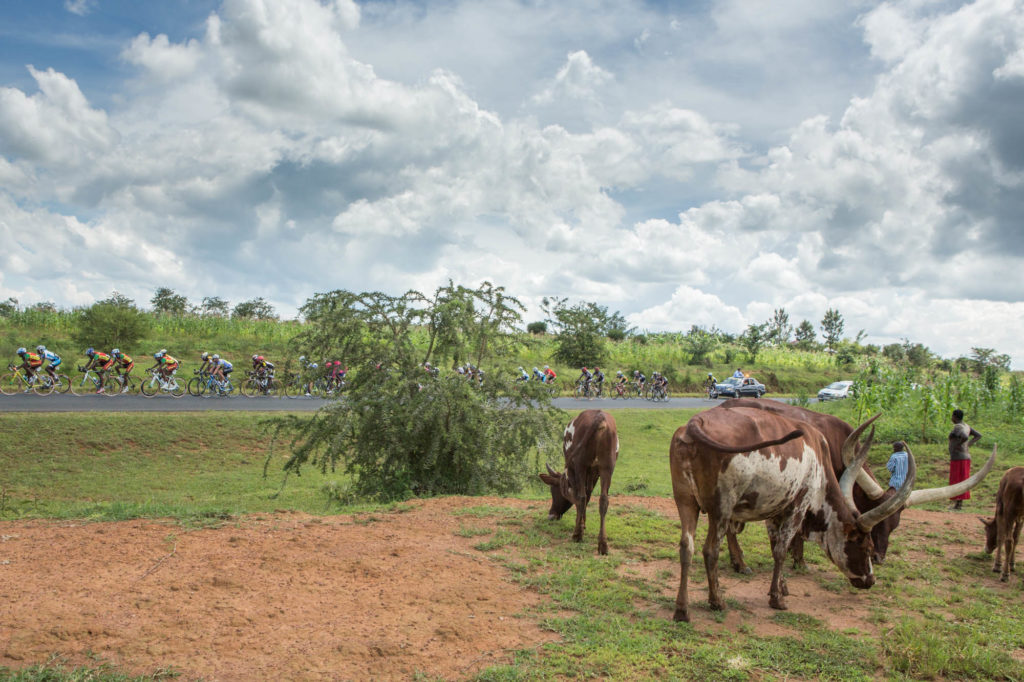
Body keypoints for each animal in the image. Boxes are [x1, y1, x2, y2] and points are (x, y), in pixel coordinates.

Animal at [540, 409, 618, 552]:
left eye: (554, 492)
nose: (551, 515)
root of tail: (599, 417)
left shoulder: (575, 471)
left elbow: (578, 497)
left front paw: (580, 525)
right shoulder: (594, 474)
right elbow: (589, 495)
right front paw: (584, 523)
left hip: (581, 465)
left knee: (581, 497)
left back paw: (577, 535)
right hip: (607, 468)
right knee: (603, 500)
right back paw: (602, 544)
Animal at [667, 405, 917, 618]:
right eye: (867, 547)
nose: (870, 580)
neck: (820, 463)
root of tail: (695, 422)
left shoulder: (775, 509)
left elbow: (776, 546)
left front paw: (782, 586)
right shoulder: (798, 505)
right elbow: (781, 550)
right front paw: (777, 598)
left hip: (685, 501)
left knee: (686, 547)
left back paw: (682, 609)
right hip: (722, 508)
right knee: (710, 551)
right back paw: (717, 600)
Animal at [716, 395, 995, 565]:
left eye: (894, 525)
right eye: (875, 523)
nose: (879, 558)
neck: (836, 446)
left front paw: (797, 558)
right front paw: (799, 560)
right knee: (729, 526)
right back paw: (739, 562)